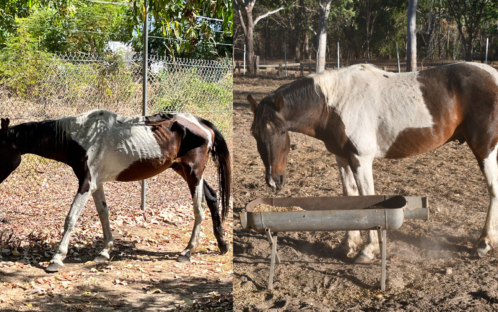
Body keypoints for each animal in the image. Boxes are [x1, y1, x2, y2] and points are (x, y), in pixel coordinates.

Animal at [0, 111, 231, 272]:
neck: (81, 137)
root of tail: (201, 123)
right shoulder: (96, 184)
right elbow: (104, 215)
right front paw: (104, 252)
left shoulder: (86, 183)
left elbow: (70, 219)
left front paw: (56, 259)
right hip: (184, 170)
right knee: (212, 198)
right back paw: (222, 245)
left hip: (193, 173)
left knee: (199, 209)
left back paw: (187, 251)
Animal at [249, 63, 498, 264]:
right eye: (255, 135)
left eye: (282, 131)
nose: (274, 180)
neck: (334, 104)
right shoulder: (342, 158)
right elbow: (349, 197)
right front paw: (347, 244)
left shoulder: (361, 159)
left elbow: (366, 199)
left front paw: (368, 251)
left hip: (485, 149)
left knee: (493, 189)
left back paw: (484, 242)